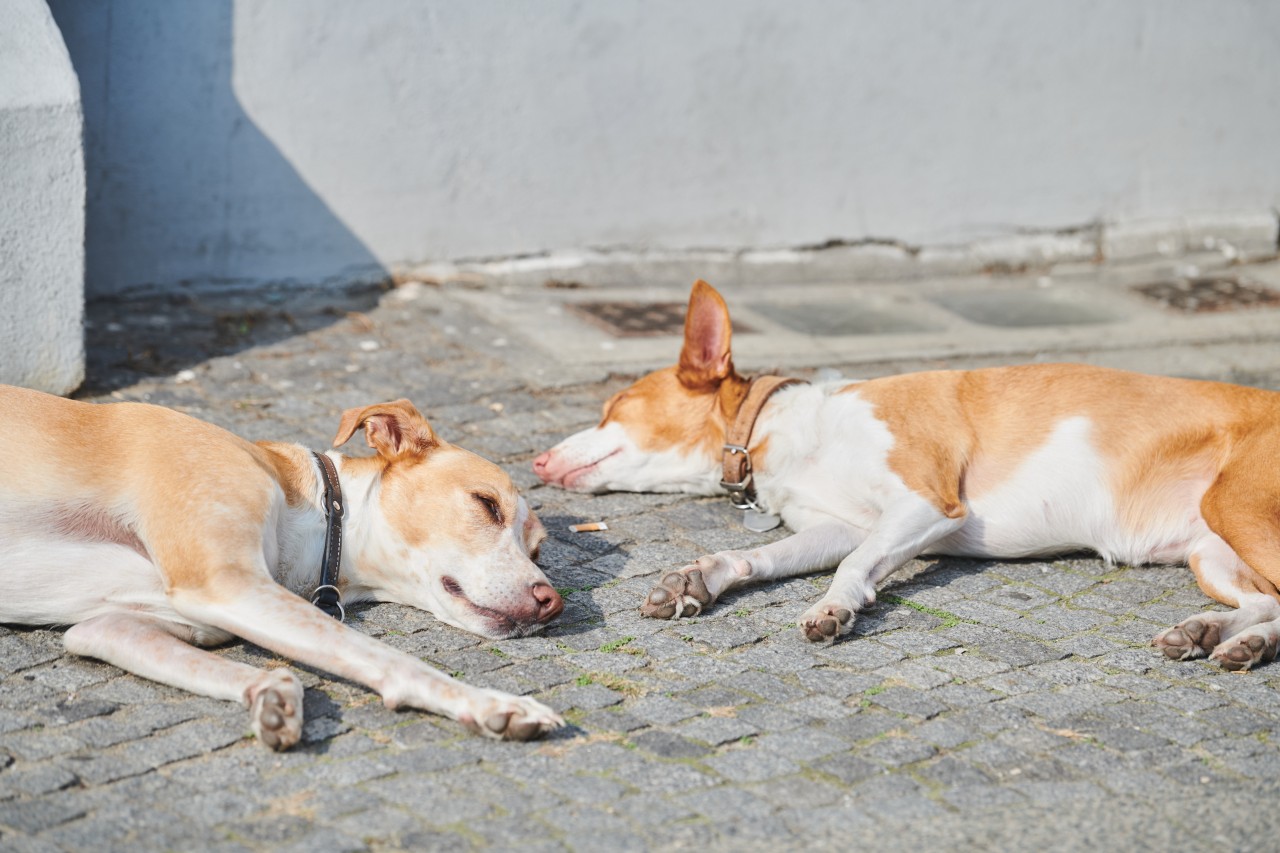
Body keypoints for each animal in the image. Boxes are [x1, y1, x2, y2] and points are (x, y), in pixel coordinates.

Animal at [0, 389, 563, 747]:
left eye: (538, 552)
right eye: (487, 505)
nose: (552, 603)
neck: (321, 508)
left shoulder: (113, 627)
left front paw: (270, 695)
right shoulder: (223, 583)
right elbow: (390, 658)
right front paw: (492, 704)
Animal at [535, 279, 1280, 671]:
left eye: (614, 406)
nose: (537, 461)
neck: (788, 429)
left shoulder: (926, 507)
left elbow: (854, 566)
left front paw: (834, 608)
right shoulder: (839, 524)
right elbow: (760, 558)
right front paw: (699, 579)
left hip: (1236, 511)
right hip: (1212, 554)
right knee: (1270, 604)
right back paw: (1217, 636)